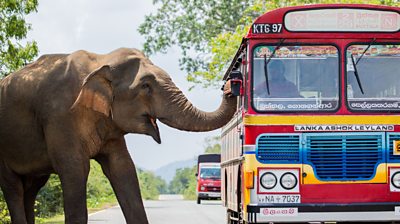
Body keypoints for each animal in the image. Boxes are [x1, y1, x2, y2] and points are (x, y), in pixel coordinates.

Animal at [0, 48, 238, 223]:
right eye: (145, 86)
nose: (229, 84)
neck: (100, 61)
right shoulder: (59, 118)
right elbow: (75, 170)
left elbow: (123, 168)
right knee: (14, 188)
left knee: (32, 188)